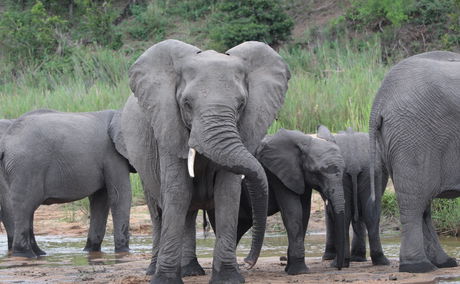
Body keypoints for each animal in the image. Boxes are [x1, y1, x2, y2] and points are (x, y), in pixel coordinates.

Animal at [0, 108, 133, 258]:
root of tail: (5, 143)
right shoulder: (113, 155)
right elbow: (120, 196)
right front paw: (124, 252)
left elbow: (100, 200)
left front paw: (91, 251)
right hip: (26, 166)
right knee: (24, 206)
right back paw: (26, 255)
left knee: (27, 209)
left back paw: (39, 254)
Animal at [120, 38, 290, 284]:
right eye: (187, 104)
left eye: (241, 105)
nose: (248, 262)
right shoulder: (167, 127)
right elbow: (177, 191)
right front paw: (164, 281)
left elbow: (227, 192)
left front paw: (229, 278)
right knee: (159, 212)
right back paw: (155, 271)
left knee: (189, 213)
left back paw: (191, 270)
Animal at [223, 129, 344, 276]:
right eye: (317, 173)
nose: (338, 267)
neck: (306, 140)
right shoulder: (278, 174)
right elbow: (293, 212)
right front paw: (298, 272)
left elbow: (304, 213)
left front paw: (290, 269)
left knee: (239, 225)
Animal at [318, 125, 390, 266]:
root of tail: (354, 164)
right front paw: (358, 258)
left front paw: (327, 257)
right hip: (372, 172)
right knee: (371, 214)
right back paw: (380, 261)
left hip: (341, 174)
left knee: (345, 216)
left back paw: (337, 263)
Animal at [370, 51, 460, 272]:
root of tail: (380, 100)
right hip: (413, 137)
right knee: (414, 202)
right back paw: (419, 266)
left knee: (422, 203)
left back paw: (443, 263)